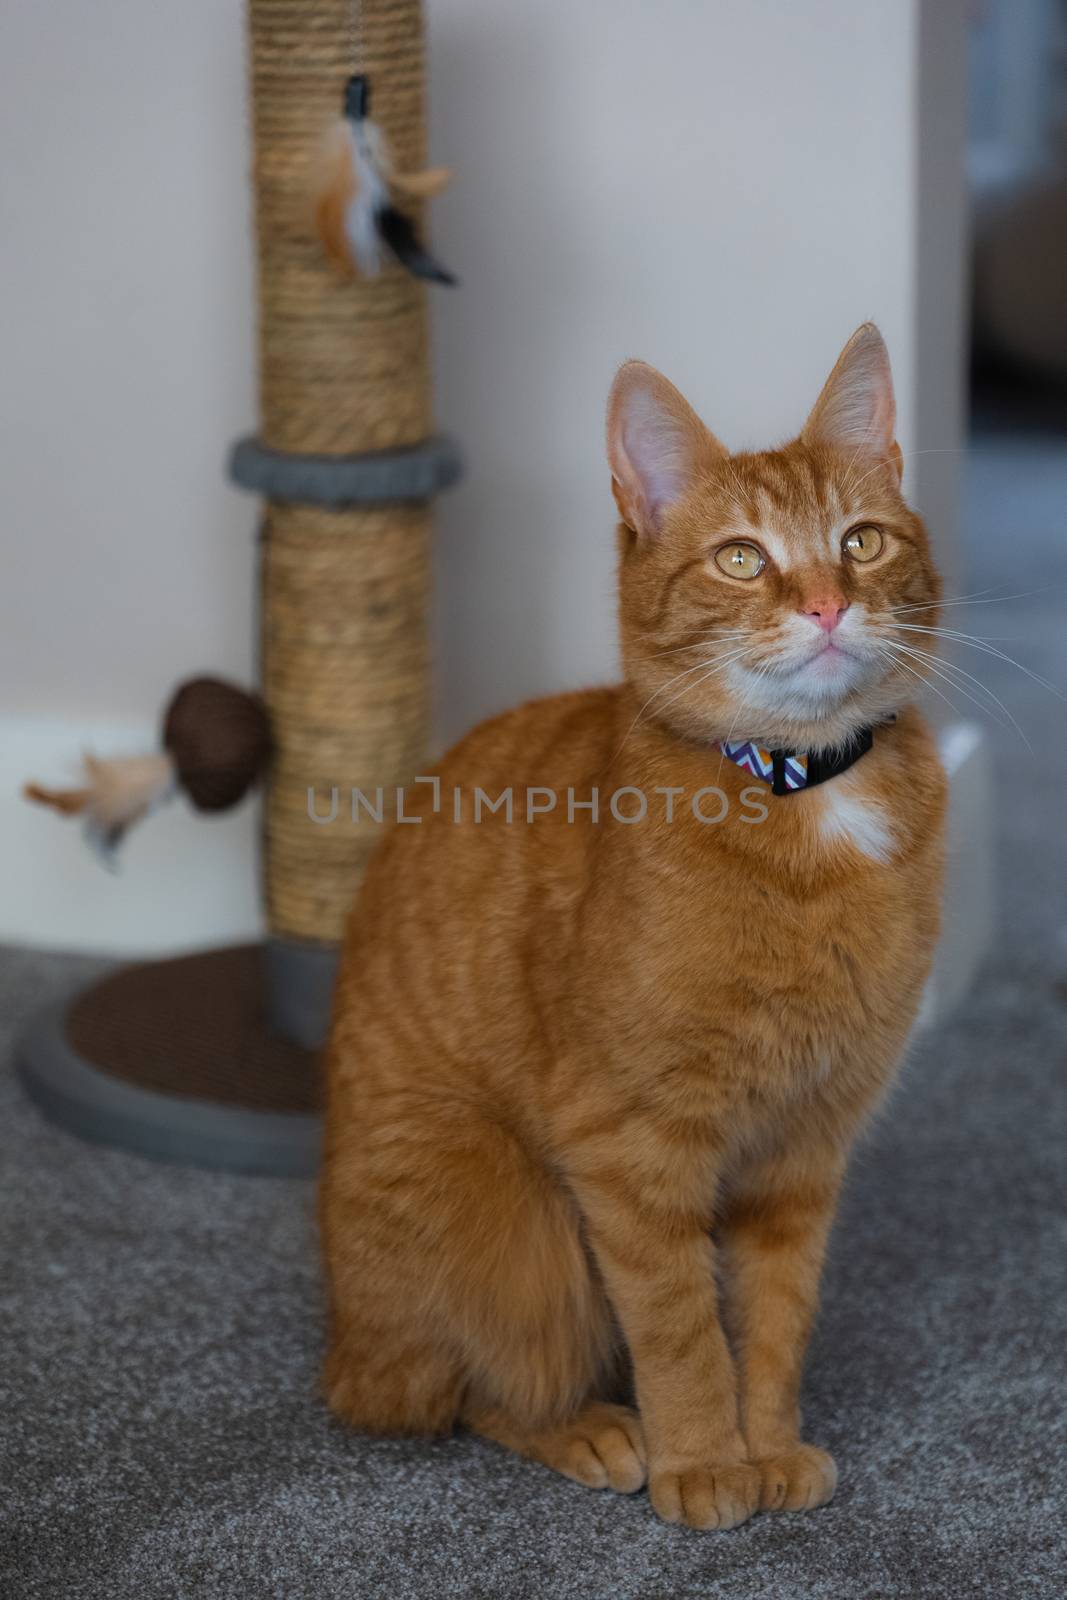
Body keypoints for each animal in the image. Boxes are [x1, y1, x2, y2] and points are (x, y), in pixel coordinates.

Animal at [321, 321, 947, 1523]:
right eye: (742, 558)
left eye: (860, 541)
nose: (826, 605)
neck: (801, 793)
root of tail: (338, 1340)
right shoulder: (628, 1145)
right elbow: (678, 1327)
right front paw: (701, 1459)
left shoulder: (803, 1150)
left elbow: (774, 1317)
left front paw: (768, 1444)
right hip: (509, 1211)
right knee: (462, 1389)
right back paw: (598, 1429)